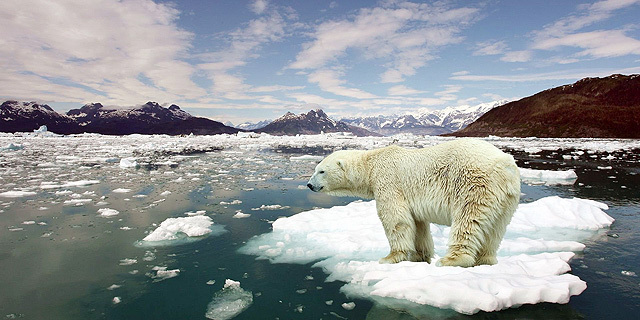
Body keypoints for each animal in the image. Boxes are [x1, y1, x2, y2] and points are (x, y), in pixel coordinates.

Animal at [308, 139, 524, 266]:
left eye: (321, 171)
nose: (309, 185)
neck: (371, 164)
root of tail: (505, 165)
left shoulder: (388, 181)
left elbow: (396, 219)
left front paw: (390, 257)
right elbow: (418, 224)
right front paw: (420, 256)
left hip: (474, 184)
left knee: (468, 220)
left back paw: (451, 260)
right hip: (507, 198)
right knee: (496, 229)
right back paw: (485, 259)